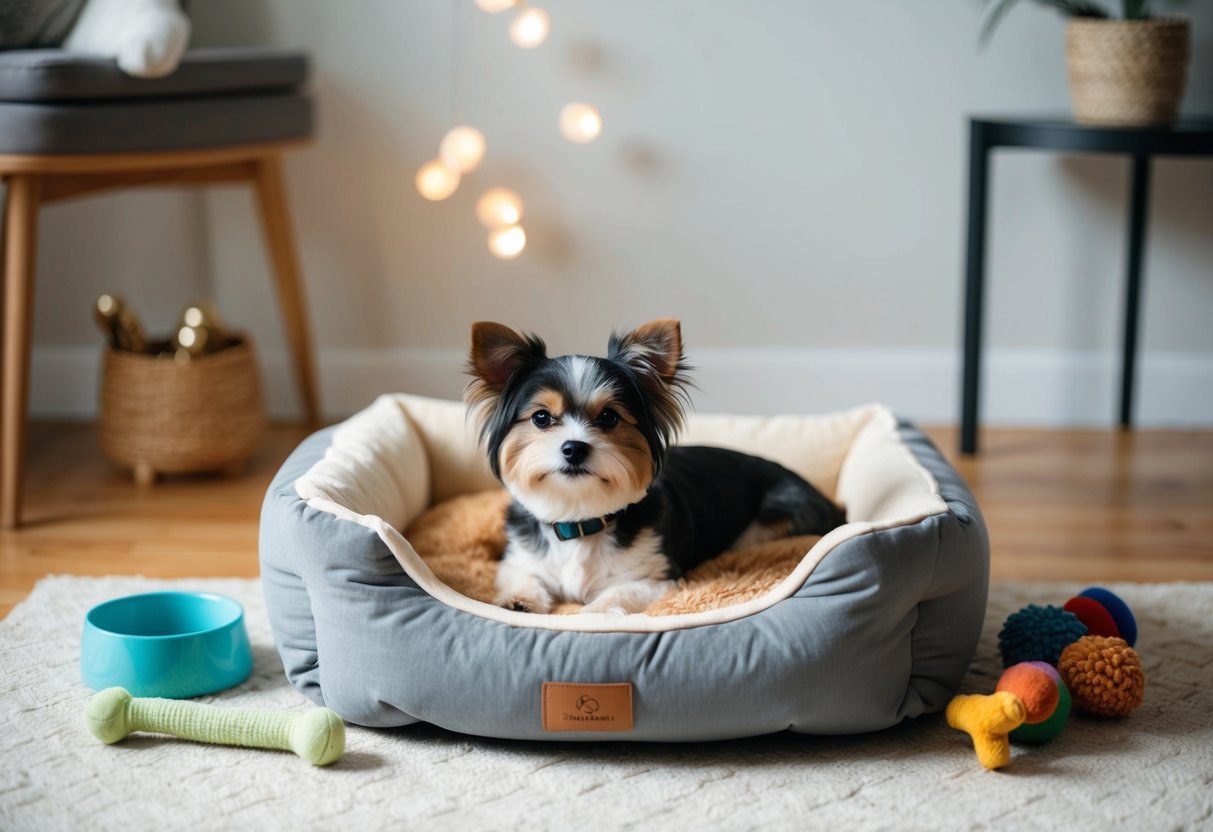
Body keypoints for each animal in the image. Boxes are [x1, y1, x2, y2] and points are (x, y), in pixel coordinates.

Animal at [463, 322, 844, 616]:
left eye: (609, 417)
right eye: (541, 417)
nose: (574, 448)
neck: (580, 518)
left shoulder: (656, 576)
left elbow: (617, 594)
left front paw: (594, 615)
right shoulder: (520, 560)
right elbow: (524, 576)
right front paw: (519, 602)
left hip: (777, 517)